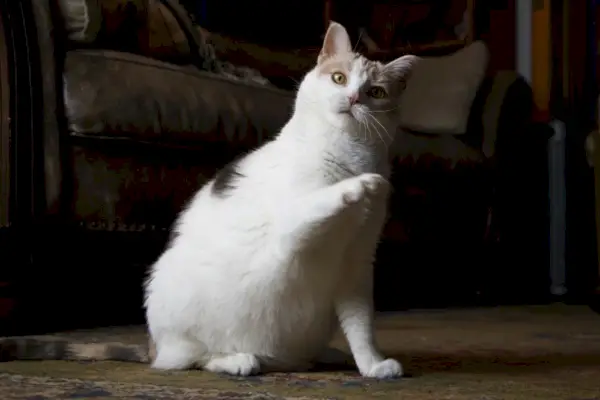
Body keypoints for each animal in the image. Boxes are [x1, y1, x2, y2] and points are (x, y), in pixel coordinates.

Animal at [145, 21, 418, 378]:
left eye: (376, 92)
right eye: (339, 78)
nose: (354, 97)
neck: (349, 152)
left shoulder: (358, 263)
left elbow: (362, 325)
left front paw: (372, 366)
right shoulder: (290, 233)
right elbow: (321, 200)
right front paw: (364, 184)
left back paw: (326, 356)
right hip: (177, 310)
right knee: (192, 359)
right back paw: (238, 360)